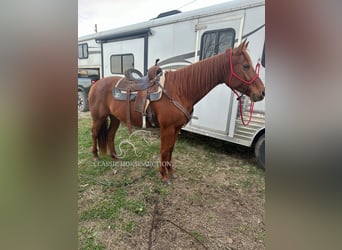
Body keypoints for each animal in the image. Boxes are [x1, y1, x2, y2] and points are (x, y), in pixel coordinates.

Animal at [87, 41, 264, 184]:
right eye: (246, 66)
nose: (261, 92)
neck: (180, 90)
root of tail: (96, 84)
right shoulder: (167, 128)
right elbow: (164, 150)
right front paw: (164, 176)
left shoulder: (176, 128)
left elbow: (171, 149)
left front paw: (171, 172)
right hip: (98, 117)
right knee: (95, 133)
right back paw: (95, 156)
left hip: (115, 118)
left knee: (110, 135)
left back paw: (115, 157)